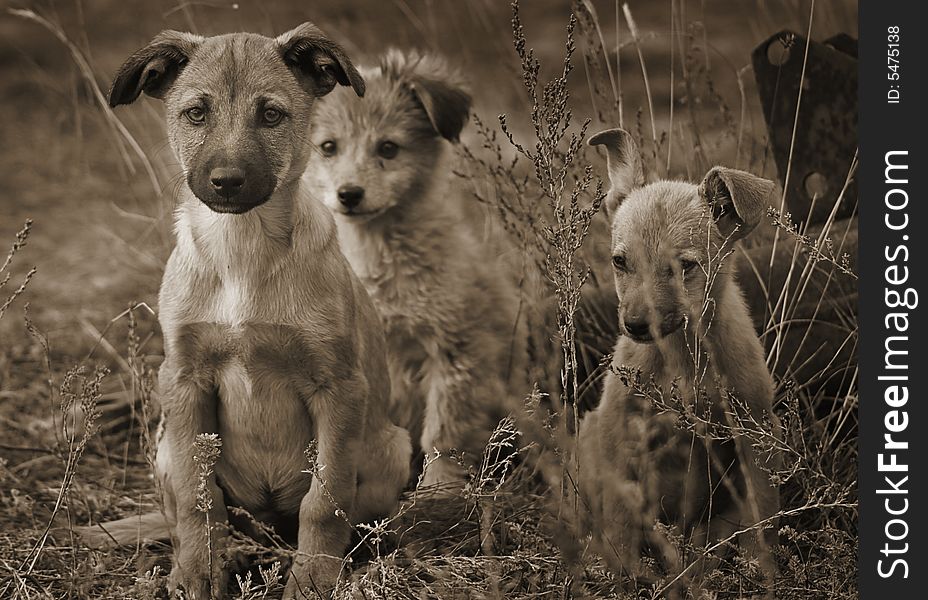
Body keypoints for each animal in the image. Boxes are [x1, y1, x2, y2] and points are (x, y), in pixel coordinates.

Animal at [100, 23, 410, 600]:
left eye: (271, 115)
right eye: (197, 113)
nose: (227, 180)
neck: (241, 248)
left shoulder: (339, 386)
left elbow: (325, 500)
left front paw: (313, 578)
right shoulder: (183, 380)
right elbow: (200, 501)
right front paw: (198, 572)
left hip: (392, 447)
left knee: (354, 516)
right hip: (164, 445)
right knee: (211, 515)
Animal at [580, 129, 784, 592]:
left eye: (685, 266)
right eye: (619, 262)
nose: (635, 325)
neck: (682, 358)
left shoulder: (755, 432)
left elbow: (762, 512)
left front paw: (764, 572)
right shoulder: (618, 429)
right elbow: (619, 520)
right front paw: (618, 575)